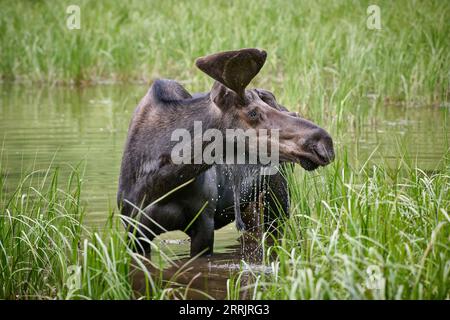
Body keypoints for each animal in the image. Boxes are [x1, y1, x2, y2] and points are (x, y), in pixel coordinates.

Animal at [118, 48, 336, 258]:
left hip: (277, 203)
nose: (324, 142)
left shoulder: (204, 222)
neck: (160, 183)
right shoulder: (134, 230)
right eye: (253, 112)